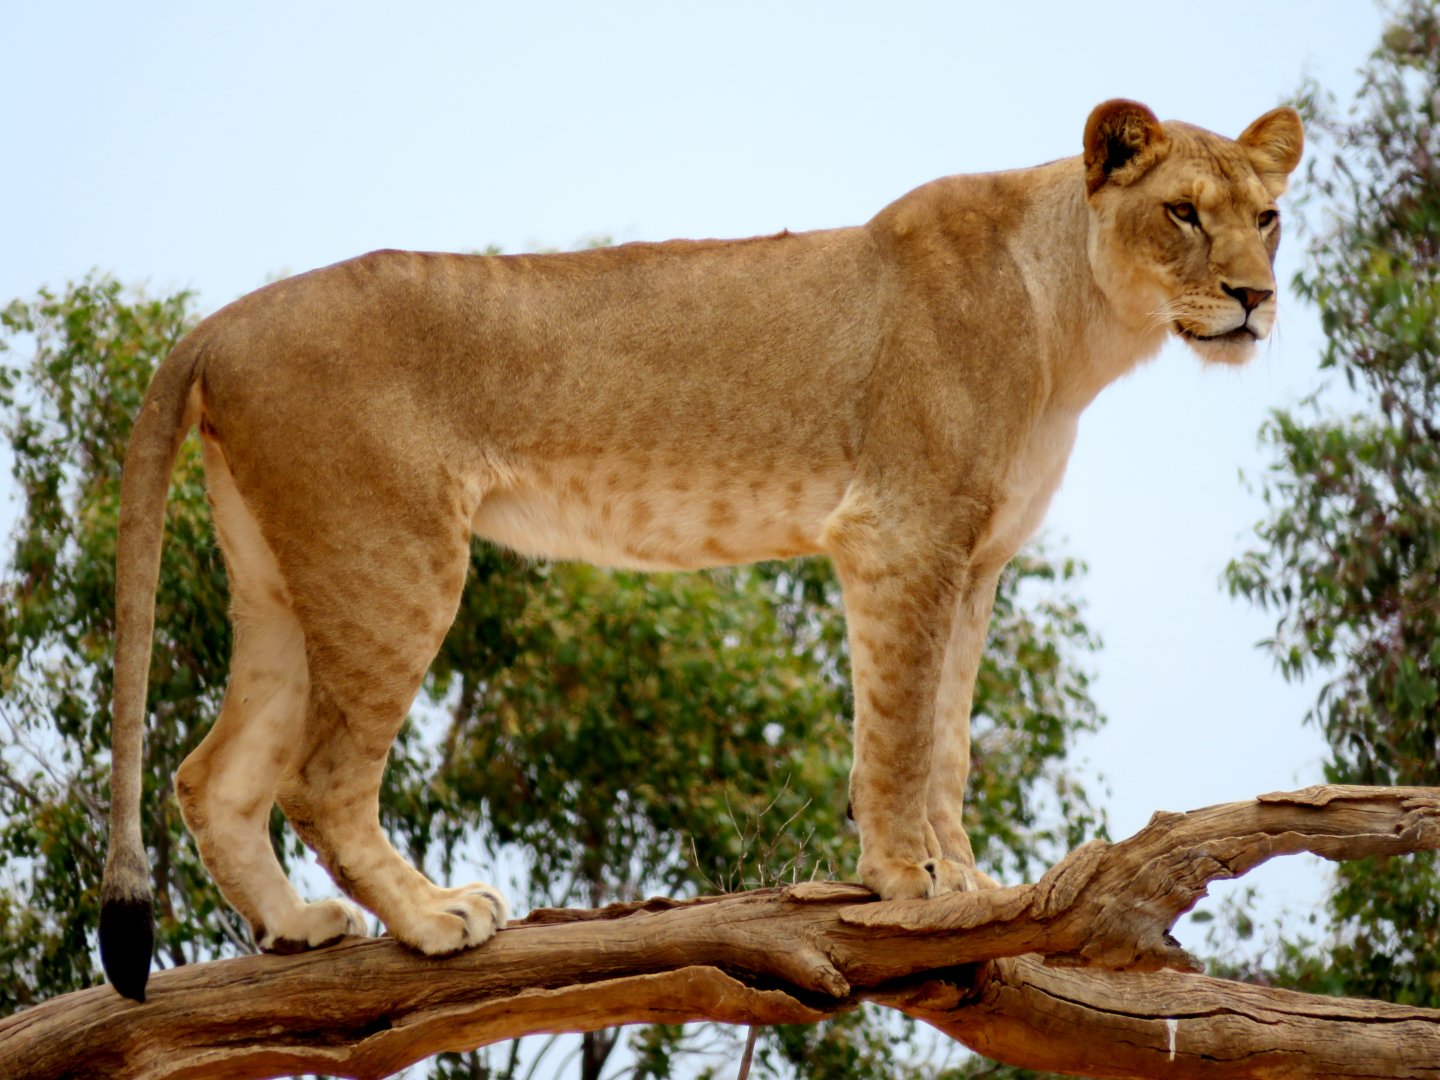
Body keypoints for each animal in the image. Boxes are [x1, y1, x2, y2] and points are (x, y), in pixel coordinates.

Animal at [99, 99, 1302, 999]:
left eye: (1270, 216)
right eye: (1182, 213)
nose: (1254, 298)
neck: (1074, 322)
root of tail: (222, 321)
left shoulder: (977, 562)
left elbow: (950, 739)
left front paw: (967, 882)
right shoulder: (899, 535)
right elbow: (900, 734)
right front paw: (905, 883)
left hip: (280, 580)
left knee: (212, 773)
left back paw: (295, 926)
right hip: (391, 558)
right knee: (319, 778)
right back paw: (434, 916)